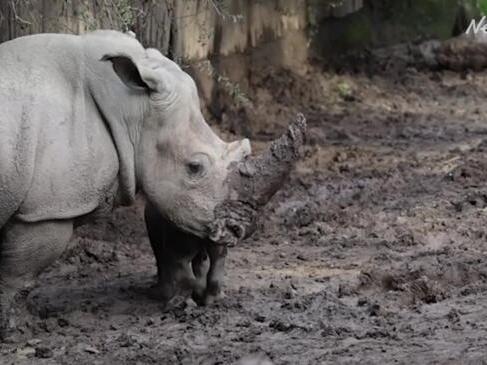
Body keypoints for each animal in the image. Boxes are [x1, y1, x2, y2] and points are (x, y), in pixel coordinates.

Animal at [0, 29, 252, 336]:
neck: (129, 108)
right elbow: (18, 276)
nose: (236, 230)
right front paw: (19, 326)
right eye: (195, 167)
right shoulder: (45, 211)